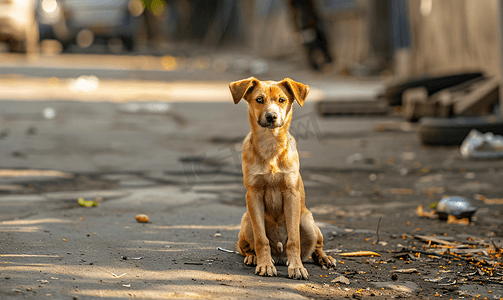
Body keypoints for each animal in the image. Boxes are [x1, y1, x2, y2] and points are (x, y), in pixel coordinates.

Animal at [231, 77, 334, 278]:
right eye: (259, 99)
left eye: (281, 100)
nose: (271, 116)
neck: (271, 146)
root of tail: (279, 255)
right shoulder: (253, 194)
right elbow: (261, 239)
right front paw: (264, 264)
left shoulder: (291, 193)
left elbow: (294, 240)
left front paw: (297, 267)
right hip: (247, 220)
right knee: (246, 247)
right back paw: (254, 257)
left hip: (308, 222)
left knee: (315, 248)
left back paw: (324, 258)